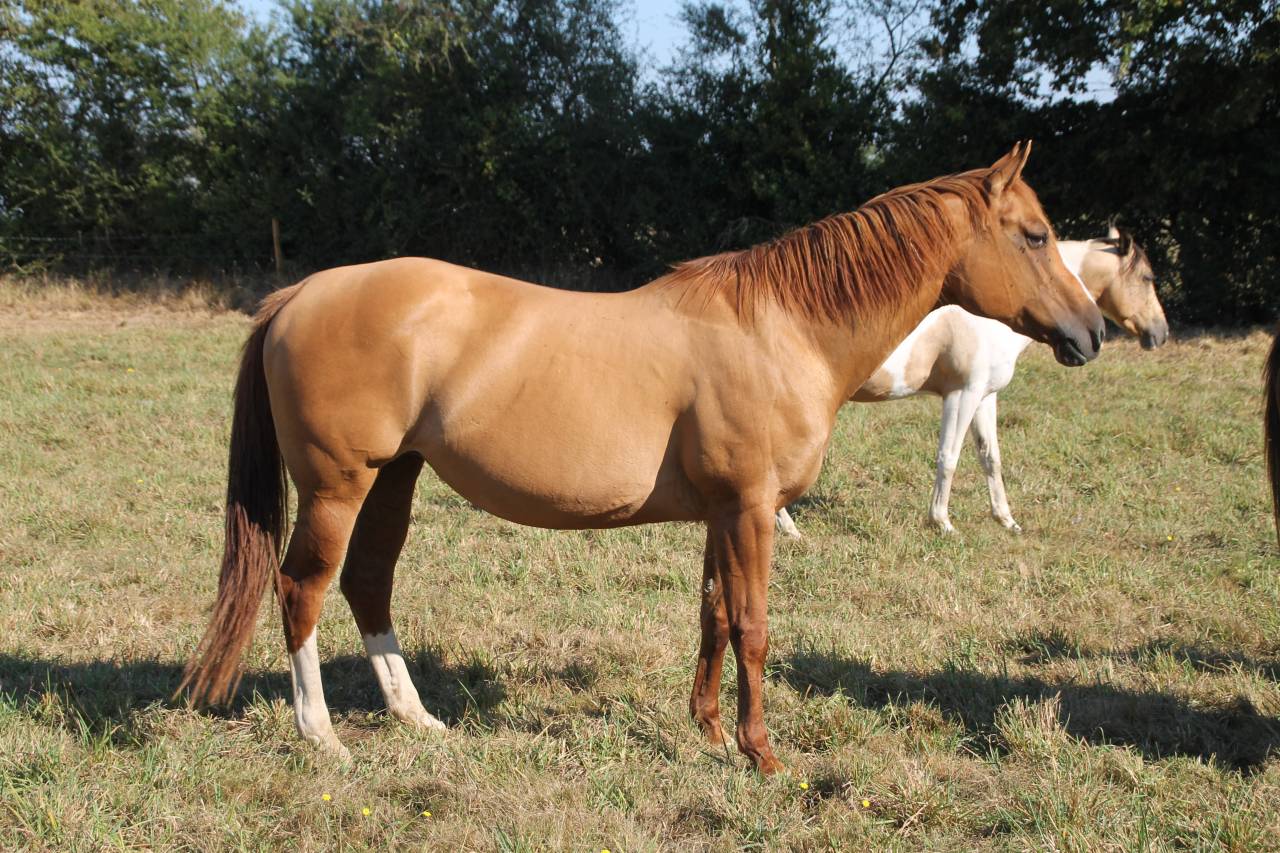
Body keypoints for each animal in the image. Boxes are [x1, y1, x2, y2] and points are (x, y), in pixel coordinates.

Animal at [179, 143, 1103, 774]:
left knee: (369, 582)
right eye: (1034, 235)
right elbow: (755, 627)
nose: (1092, 333)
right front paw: (762, 753)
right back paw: (321, 733)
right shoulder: (752, 508)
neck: (782, 328)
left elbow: (714, 617)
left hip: (393, 478)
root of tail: (304, 291)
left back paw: (416, 719)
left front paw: (709, 732)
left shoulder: (725, 511)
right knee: (302, 588)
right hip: (339, 484)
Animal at [775, 227, 1168, 538]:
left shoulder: (985, 397)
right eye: (1148, 278)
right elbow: (948, 456)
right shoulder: (962, 394)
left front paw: (1006, 520)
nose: (1160, 334)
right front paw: (942, 523)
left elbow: (990, 458)